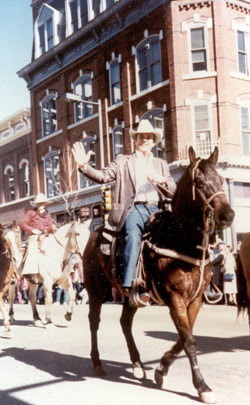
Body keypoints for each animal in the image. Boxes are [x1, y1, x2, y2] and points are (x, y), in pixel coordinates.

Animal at [83, 147, 234, 402]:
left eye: (221, 179)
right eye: (200, 182)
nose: (228, 215)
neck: (180, 240)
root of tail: (94, 236)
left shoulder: (195, 300)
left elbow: (184, 338)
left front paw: (161, 368)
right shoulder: (175, 298)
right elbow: (189, 341)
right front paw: (202, 386)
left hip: (130, 296)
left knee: (125, 323)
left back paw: (137, 364)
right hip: (96, 291)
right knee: (94, 322)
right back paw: (97, 363)